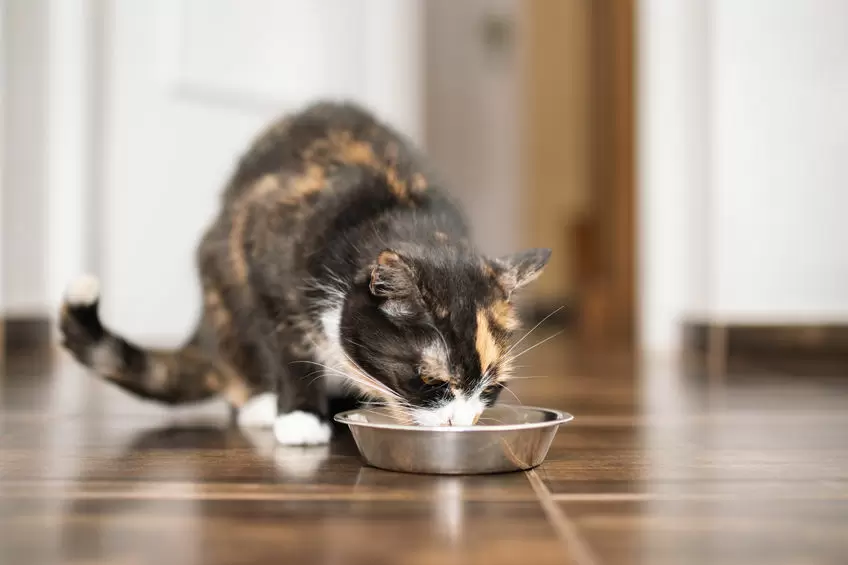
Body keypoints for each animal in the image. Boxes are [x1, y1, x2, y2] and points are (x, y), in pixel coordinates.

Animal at [59, 101, 548, 446]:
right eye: (430, 381)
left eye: (493, 388)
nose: (458, 423)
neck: (411, 218)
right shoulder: (263, 253)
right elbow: (291, 346)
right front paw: (299, 417)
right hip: (221, 278)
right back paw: (260, 404)